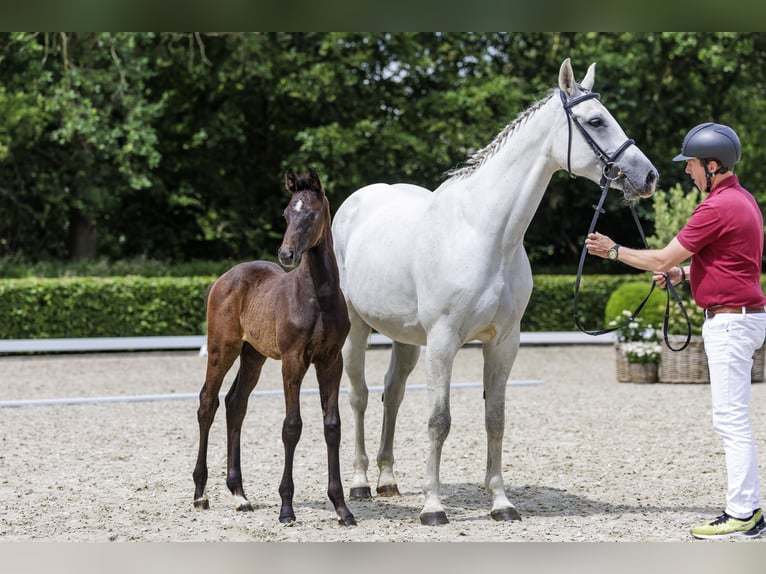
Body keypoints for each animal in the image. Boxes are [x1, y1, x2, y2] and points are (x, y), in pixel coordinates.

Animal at [195, 168, 356, 528]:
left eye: (312, 213)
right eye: (285, 214)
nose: (286, 255)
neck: (317, 298)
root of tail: (225, 278)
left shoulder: (331, 361)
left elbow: (332, 426)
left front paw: (342, 508)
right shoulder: (293, 361)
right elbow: (292, 427)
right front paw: (286, 508)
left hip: (252, 354)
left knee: (235, 404)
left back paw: (240, 495)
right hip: (222, 348)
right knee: (208, 403)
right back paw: (200, 494)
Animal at [332, 59, 664, 528]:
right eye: (597, 121)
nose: (648, 176)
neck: (484, 234)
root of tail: (356, 202)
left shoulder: (504, 342)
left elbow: (495, 419)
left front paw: (501, 502)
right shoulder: (444, 341)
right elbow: (439, 420)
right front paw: (433, 507)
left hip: (405, 338)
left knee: (391, 395)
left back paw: (387, 480)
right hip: (356, 326)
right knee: (359, 396)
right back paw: (361, 482)